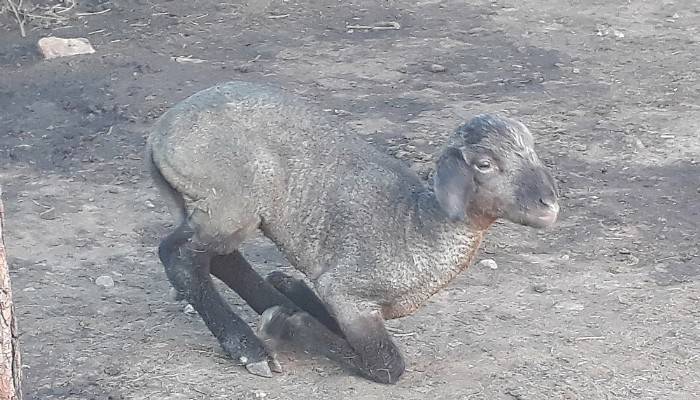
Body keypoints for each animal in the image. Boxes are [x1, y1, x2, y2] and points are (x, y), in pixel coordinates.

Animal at [146, 81, 556, 384]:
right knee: (179, 255)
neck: (416, 223)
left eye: (533, 151)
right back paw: (250, 348)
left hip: (225, 210)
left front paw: (291, 294)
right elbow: (386, 364)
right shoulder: (347, 292)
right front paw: (290, 323)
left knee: (218, 258)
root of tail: (160, 134)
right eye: (484, 164)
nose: (549, 204)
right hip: (231, 199)